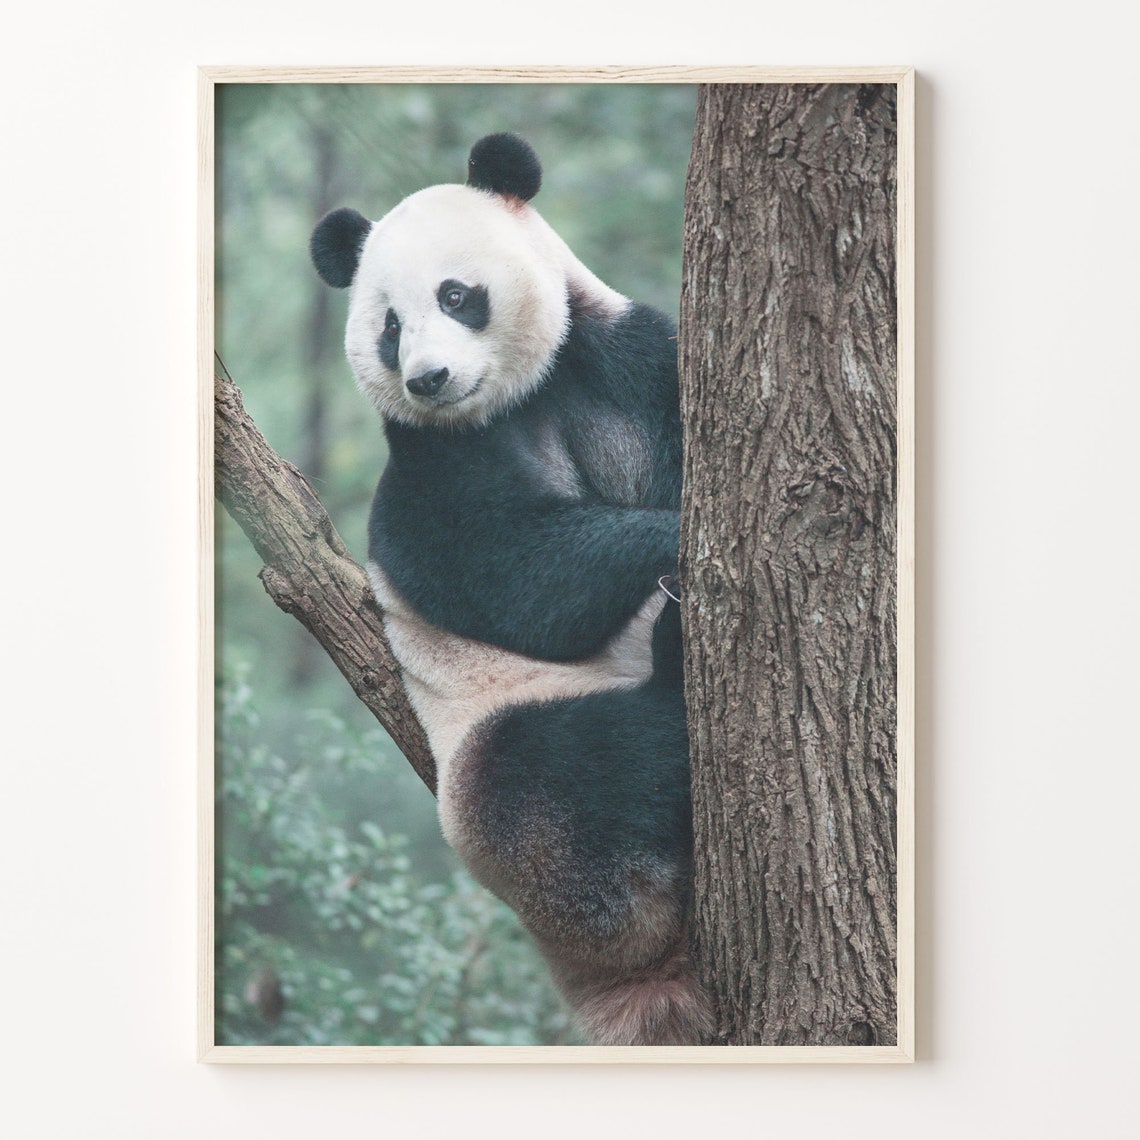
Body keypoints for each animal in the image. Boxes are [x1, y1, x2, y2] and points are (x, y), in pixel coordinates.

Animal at [311, 134, 708, 1046]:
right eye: (389, 327)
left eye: (455, 295)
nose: (428, 379)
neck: (522, 397)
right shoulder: (429, 468)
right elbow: (514, 574)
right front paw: (671, 541)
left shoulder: (627, 365)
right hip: (501, 790)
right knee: (572, 775)